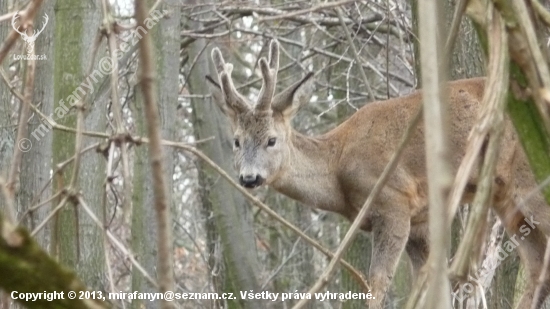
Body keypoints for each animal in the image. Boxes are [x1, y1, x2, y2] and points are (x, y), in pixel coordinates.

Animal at [206, 39, 550, 306]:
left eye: (271, 140)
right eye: (236, 141)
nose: (249, 178)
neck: (338, 168)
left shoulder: (393, 200)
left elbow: (379, 281)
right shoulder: (420, 219)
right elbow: (430, 284)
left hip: (529, 179)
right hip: (507, 201)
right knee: (536, 265)